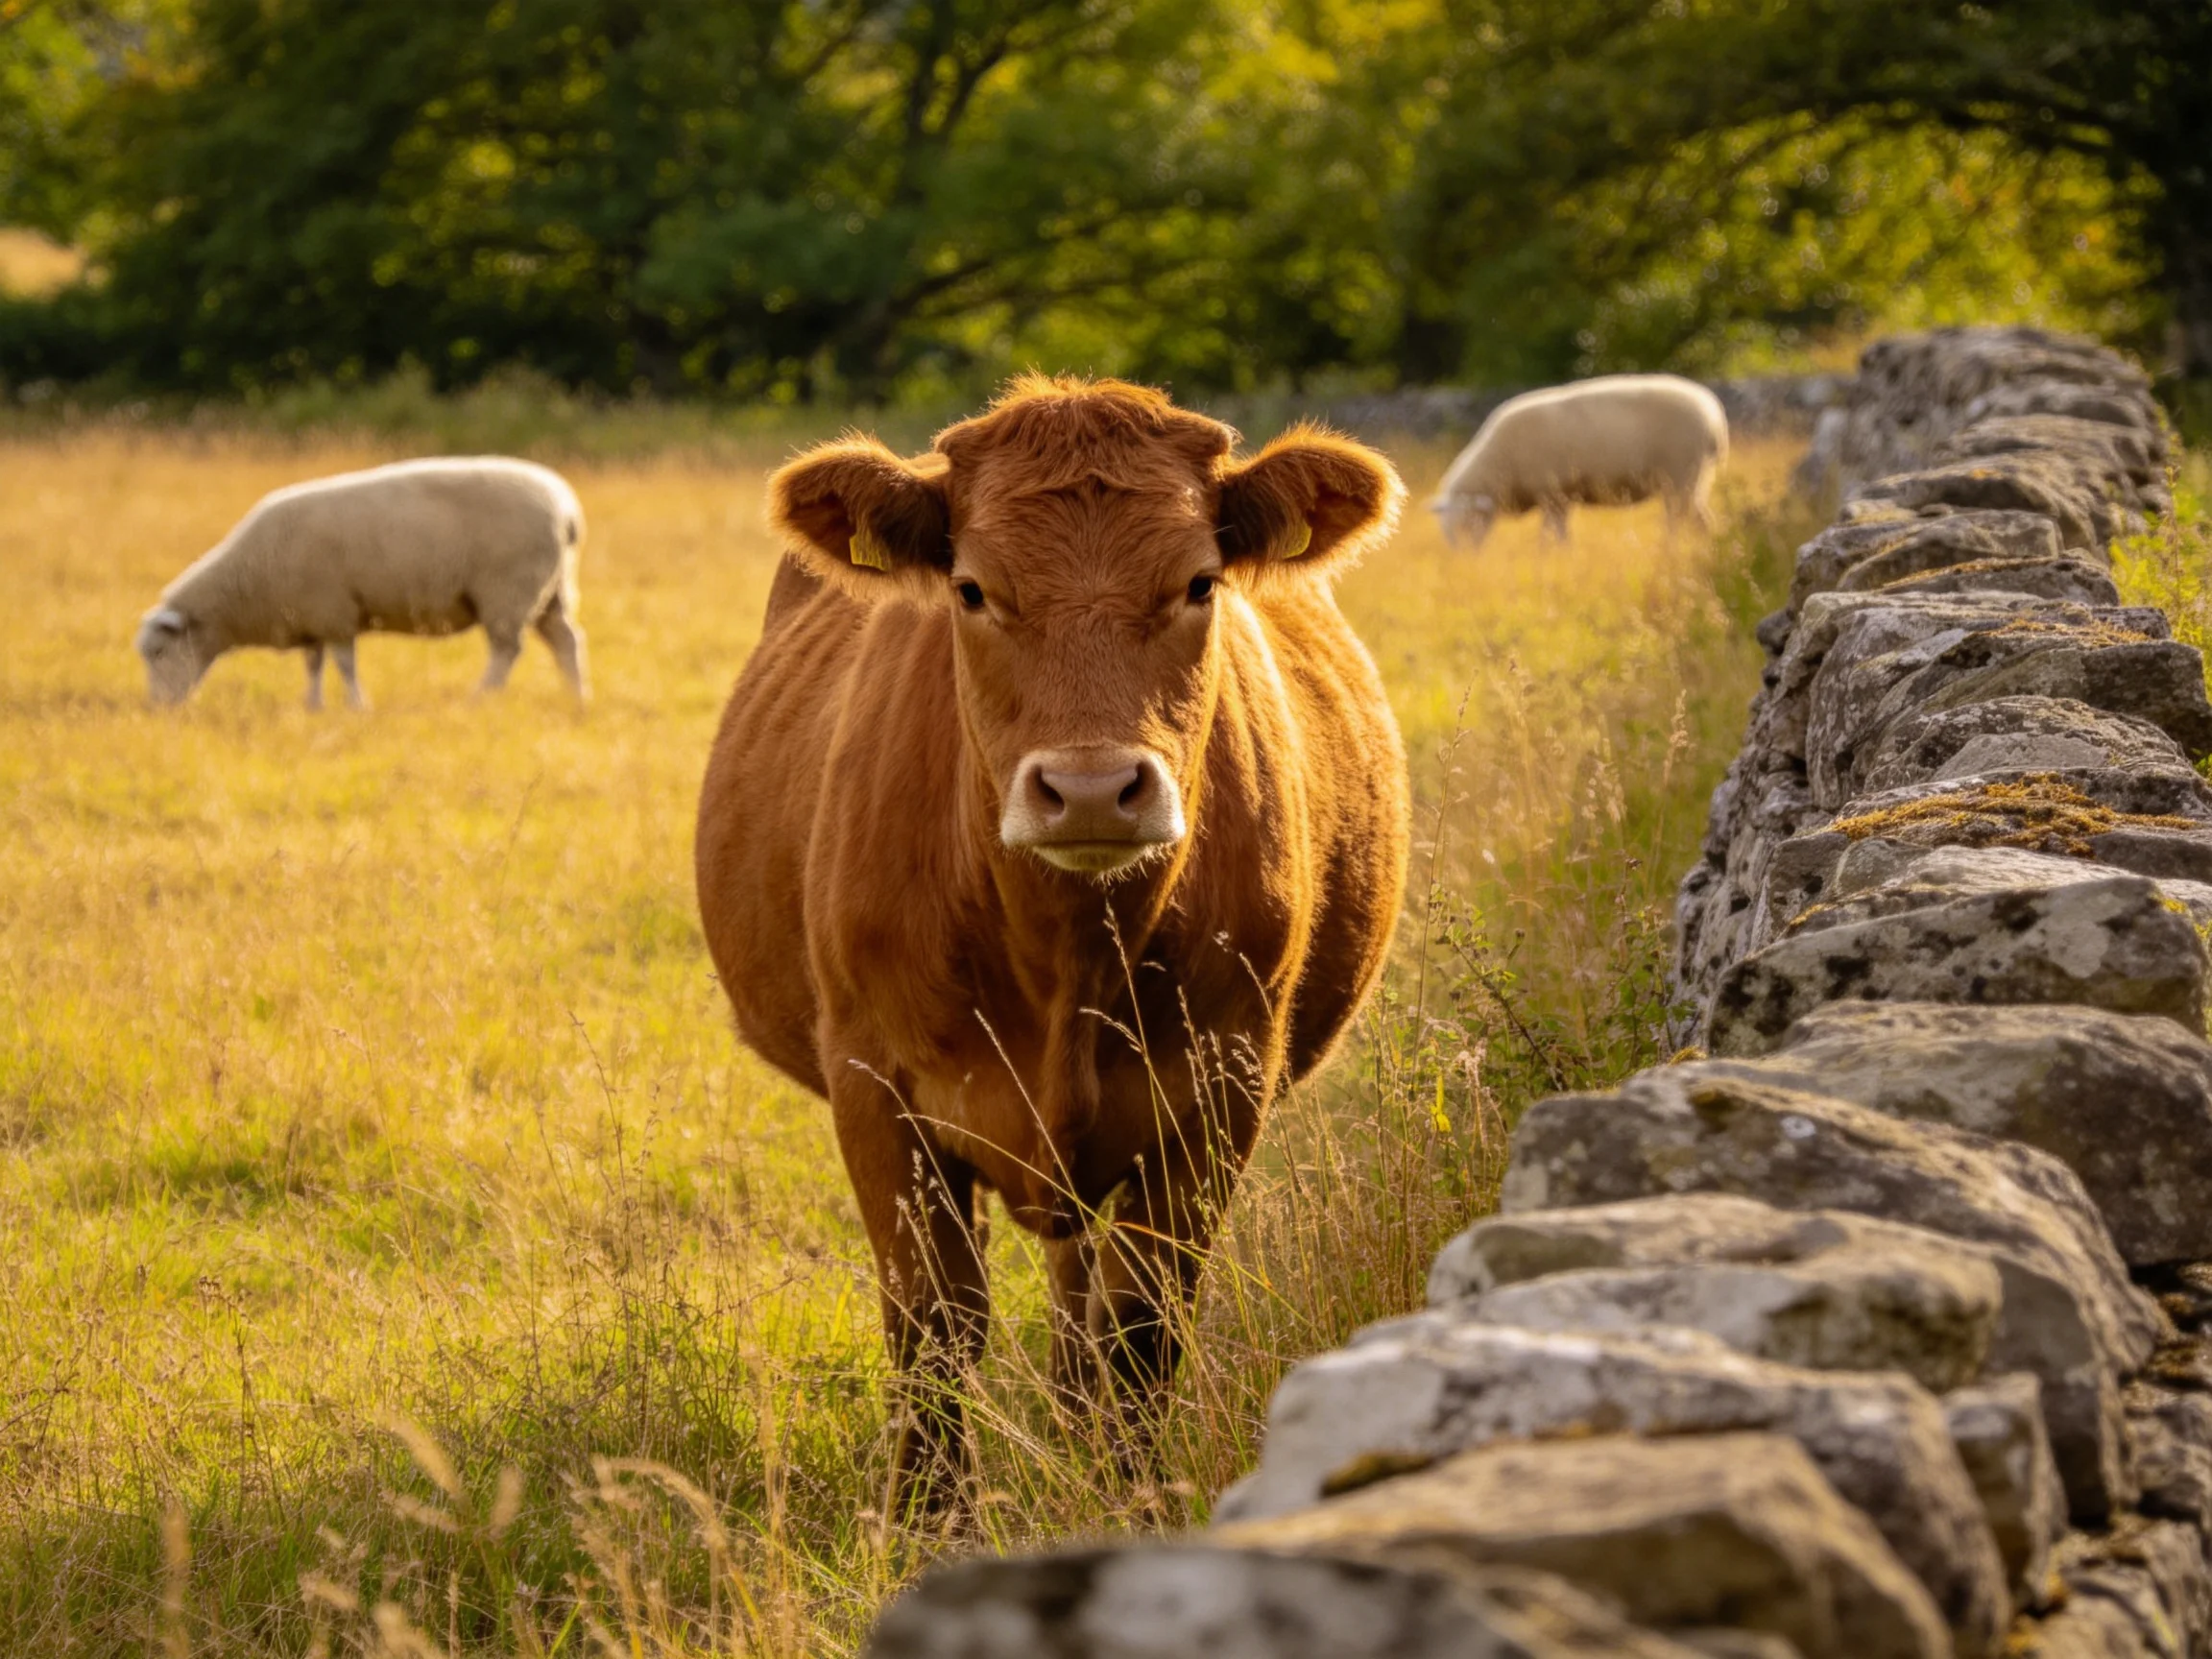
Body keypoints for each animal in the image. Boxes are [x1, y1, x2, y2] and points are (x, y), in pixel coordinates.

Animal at [137, 457, 588, 709]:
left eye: (158, 652)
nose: (156, 708)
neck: (245, 583)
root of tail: (565, 510)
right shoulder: (309, 615)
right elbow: (314, 663)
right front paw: (313, 705)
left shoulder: (334, 611)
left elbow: (343, 663)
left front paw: (356, 705)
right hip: (552, 588)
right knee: (566, 640)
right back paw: (578, 699)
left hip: (508, 589)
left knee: (506, 650)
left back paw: (481, 698)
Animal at [695, 377, 1410, 1509]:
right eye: (973, 589)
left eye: (1200, 582)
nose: (1090, 788)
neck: (1065, 956)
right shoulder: (872, 1086)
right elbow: (935, 1328)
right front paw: (927, 1525)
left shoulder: (1222, 1090)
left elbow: (1141, 1328)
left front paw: (1129, 1500)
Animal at [1428, 374, 1729, 550]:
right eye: (1445, 531)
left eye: (1467, 523)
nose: (1465, 562)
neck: (1500, 464)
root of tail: (1714, 417)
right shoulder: (1556, 498)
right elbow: (1555, 532)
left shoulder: (1553, 494)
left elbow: (1553, 532)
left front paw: (1553, 554)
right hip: (1695, 478)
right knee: (1699, 519)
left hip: (1682, 473)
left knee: (1682, 520)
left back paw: (1672, 549)